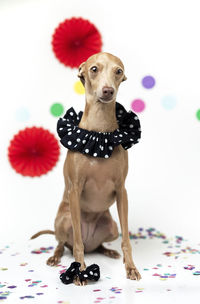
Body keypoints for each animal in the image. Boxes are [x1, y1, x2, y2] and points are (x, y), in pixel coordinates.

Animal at [30, 52, 141, 284]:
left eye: (118, 71)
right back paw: (55, 256)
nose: (108, 91)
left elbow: (126, 239)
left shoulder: (122, 190)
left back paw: (107, 250)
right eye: (94, 69)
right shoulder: (75, 189)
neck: (99, 133)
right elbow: (78, 244)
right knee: (64, 242)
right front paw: (79, 272)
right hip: (64, 221)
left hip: (111, 226)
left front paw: (131, 267)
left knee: (98, 244)